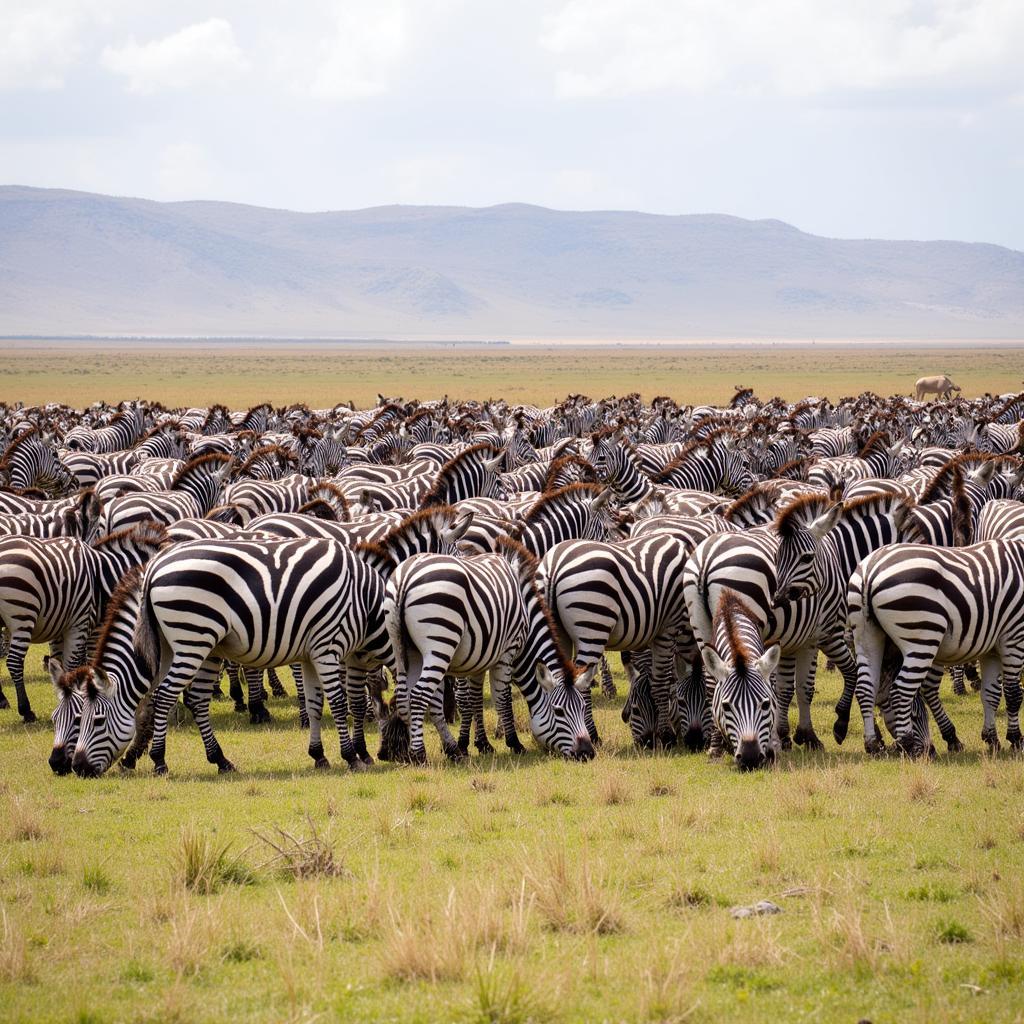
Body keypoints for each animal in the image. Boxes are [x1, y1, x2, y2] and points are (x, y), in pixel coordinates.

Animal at [0, 524, 165, 724]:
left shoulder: (61, 627)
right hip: (22, 613)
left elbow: (60, 663)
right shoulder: (80, 623)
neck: (103, 575)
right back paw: (26, 710)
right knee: (14, 662)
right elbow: (74, 664)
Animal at [382, 536, 593, 761]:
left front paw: (478, 744)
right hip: (439, 645)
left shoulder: (480, 656)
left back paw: (445, 750)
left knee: (405, 697)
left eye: (583, 707)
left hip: (404, 648)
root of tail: (406, 575)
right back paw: (419, 753)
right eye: (559, 711)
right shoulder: (507, 651)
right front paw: (514, 743)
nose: (587, 753)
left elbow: (474, 699)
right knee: (419, 695)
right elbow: (502, 698)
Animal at [843, 540, 1024, 757]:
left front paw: (992, 739)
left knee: (865, 689)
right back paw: (908, 745)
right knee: (901, 691)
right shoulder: (1014, 636)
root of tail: (870, 570)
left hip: (866, 636)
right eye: (915, 716)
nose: (929, 749)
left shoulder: (992, 649)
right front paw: (1016, 739)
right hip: (922, 636)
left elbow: (990, 694)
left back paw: (872, 745)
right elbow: (1013, 693)